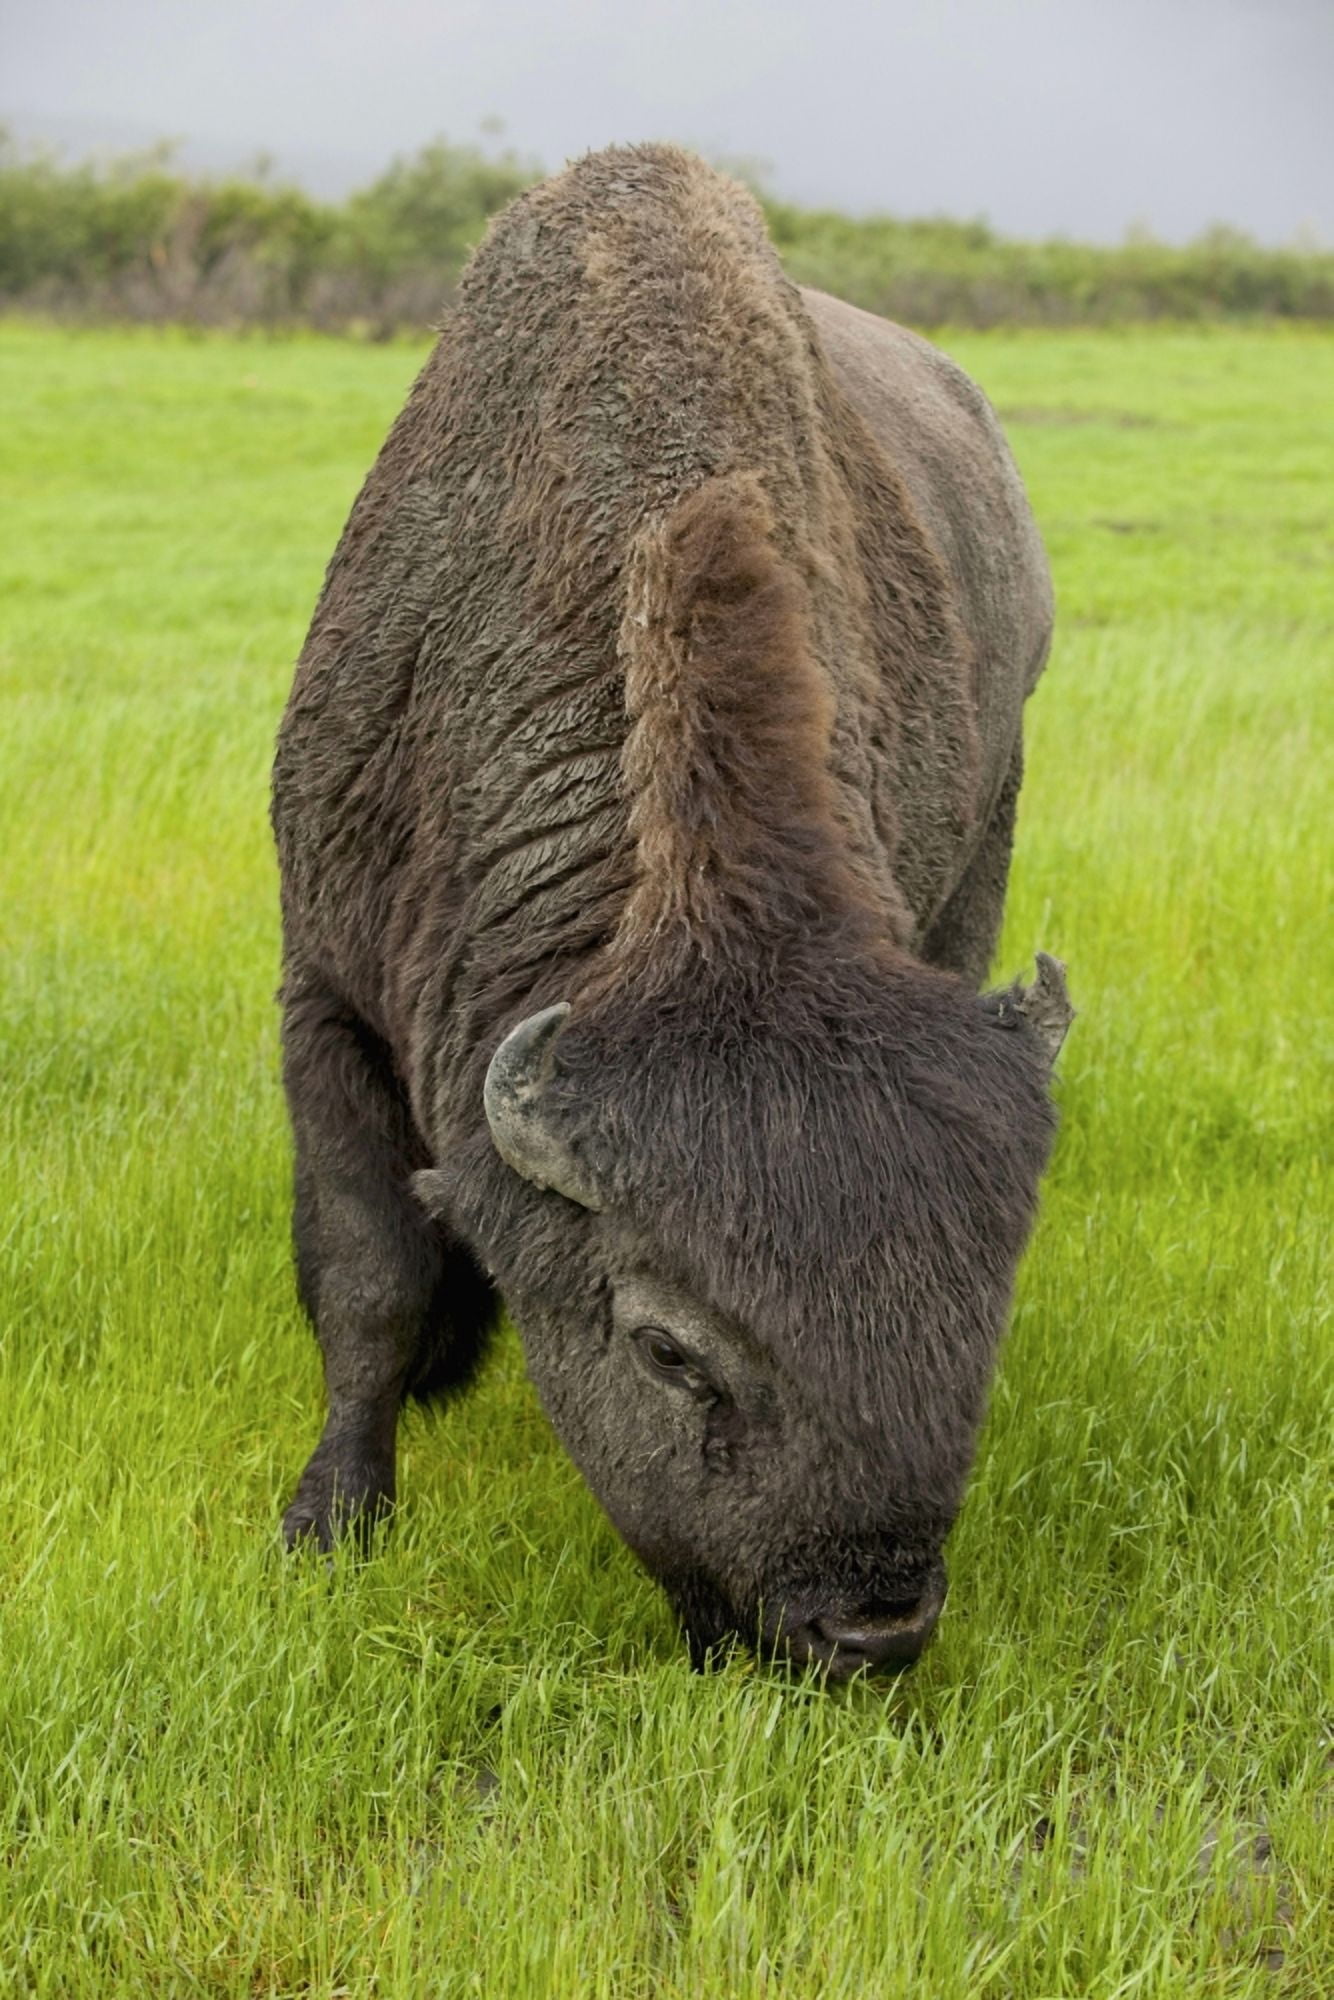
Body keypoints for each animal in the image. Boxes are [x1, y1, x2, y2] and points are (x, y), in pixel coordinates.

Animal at [271, 145, 1072, 1682]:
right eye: (667, 1349)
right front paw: (328, 1522)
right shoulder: (322, 991)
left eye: (978, 1323)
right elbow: (367, 1277)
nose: (868, 1625)